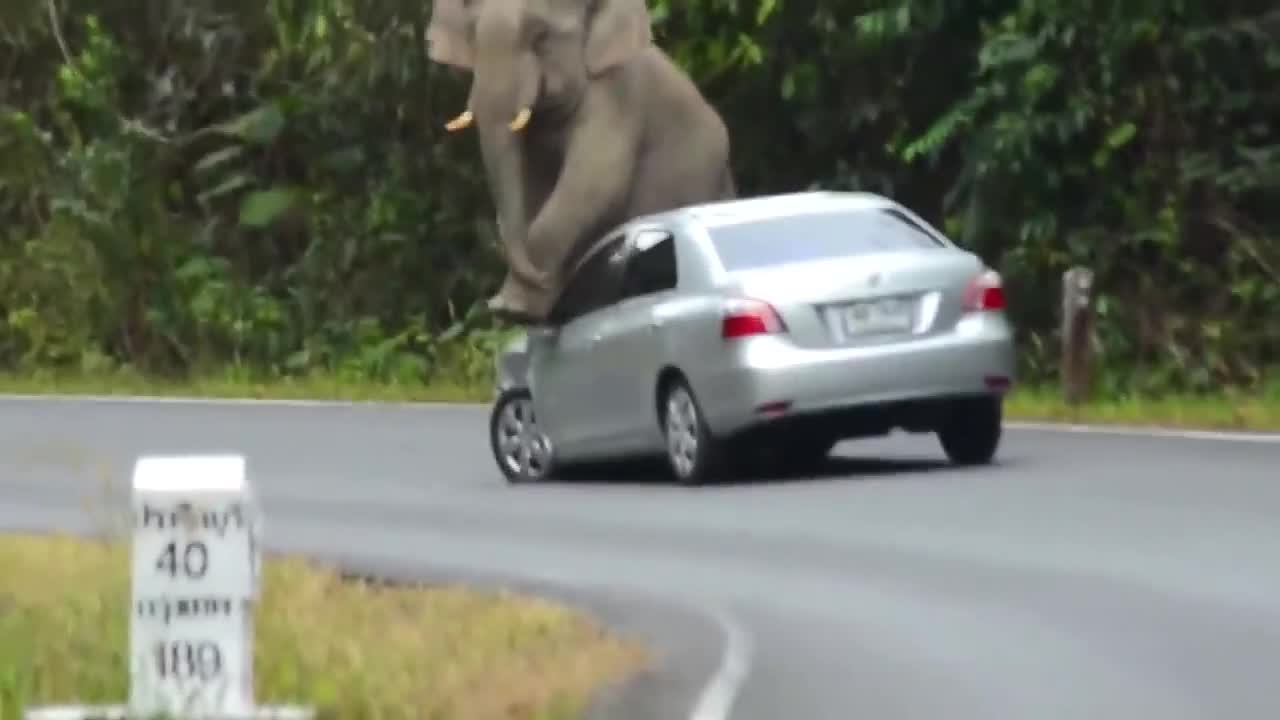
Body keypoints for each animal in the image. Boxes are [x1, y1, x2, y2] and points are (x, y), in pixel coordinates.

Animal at [427, 0, 737, 322]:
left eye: (540, 37)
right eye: (473, 37)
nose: (541, 277)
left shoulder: (616, 94)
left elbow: (595, 180)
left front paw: (516, 308)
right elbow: (532, 189)